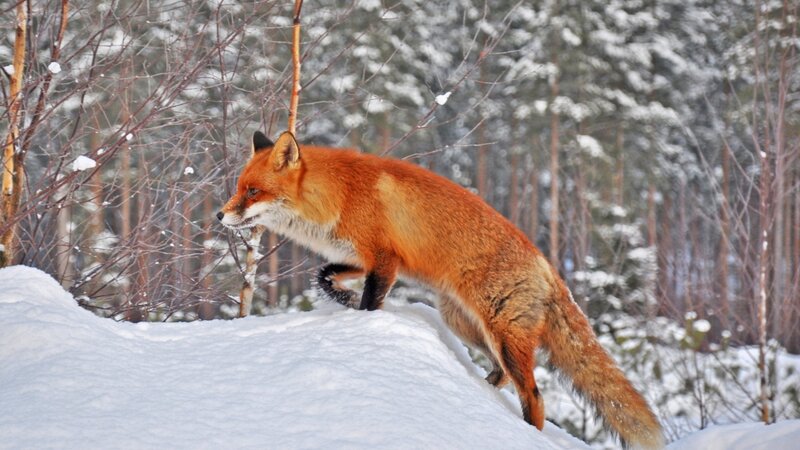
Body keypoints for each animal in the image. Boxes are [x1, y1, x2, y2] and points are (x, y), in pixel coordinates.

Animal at [218, 130, 664, 449]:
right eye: (238, 187)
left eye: (252, 191)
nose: (220, 215)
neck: (337, 195)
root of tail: (549, 268)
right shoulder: (362, 257)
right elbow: (323, 275)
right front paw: (341, 299)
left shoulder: (385, 260)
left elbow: (370, 303)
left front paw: (361, 319)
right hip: (465, 324)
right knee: (501, 376)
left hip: (502, 335)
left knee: (534, 396)